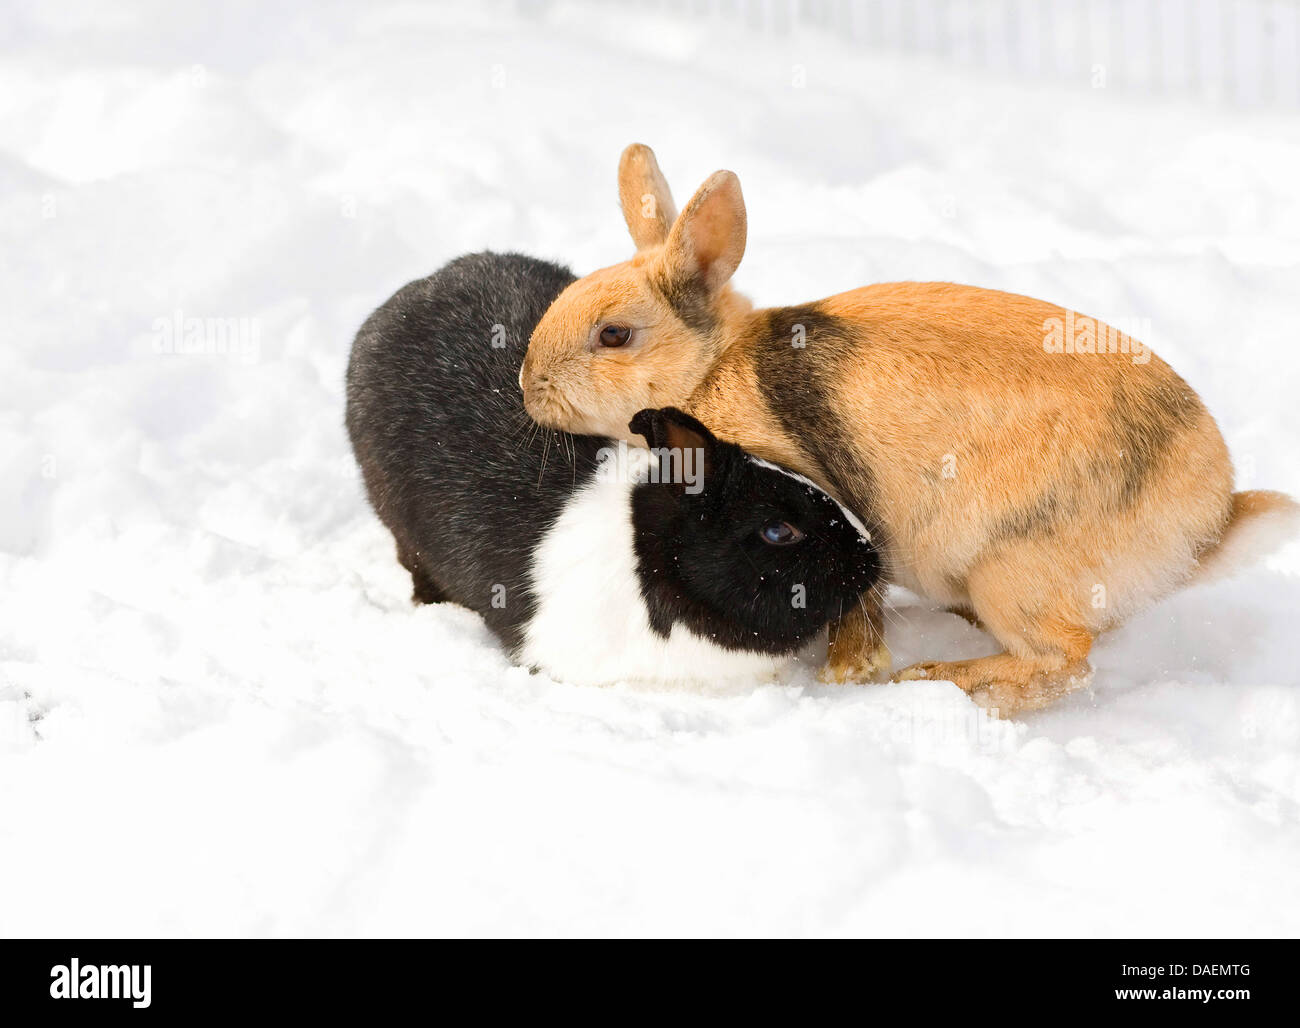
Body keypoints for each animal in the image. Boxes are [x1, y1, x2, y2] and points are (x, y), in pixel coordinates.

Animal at [519, 144, 1300, 715]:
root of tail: (1209, 524)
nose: (529, 387)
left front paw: (846, 674)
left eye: (614, 335)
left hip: (1011, 570)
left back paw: (938, 680)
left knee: (1062, 664)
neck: (709, 369)